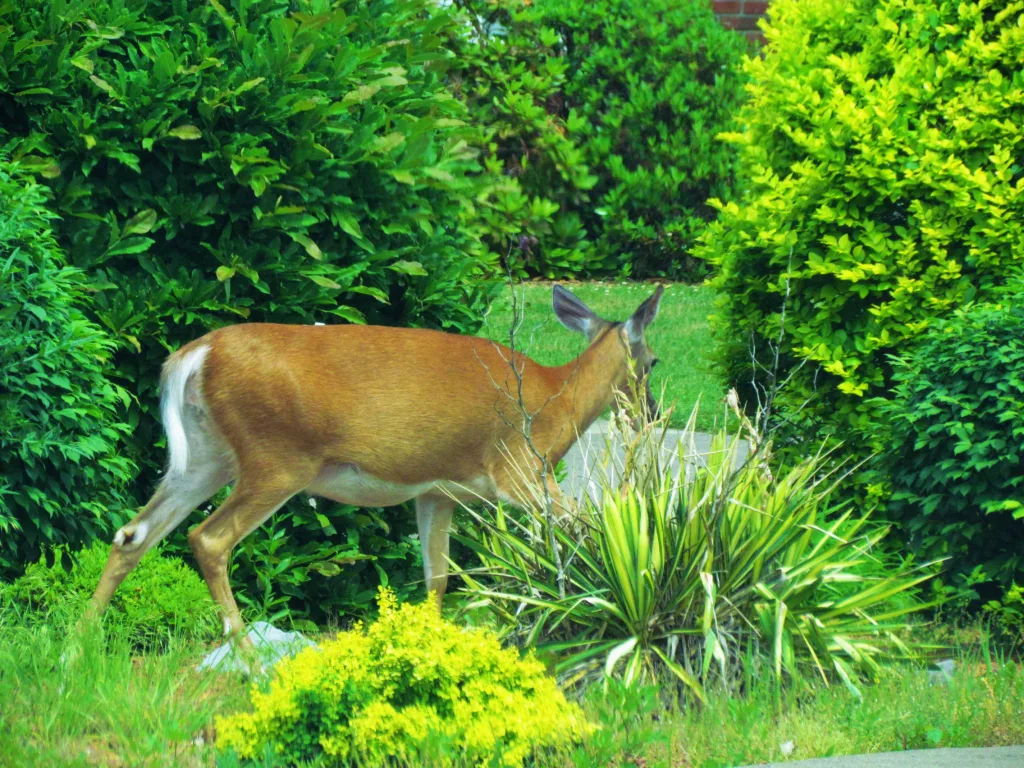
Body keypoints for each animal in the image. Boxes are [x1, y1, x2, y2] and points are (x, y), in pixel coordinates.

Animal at [86, 282, 663, 643]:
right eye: (654, 362)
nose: (652, 415)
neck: (556, 401)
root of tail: (195, 355)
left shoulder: (437, 492)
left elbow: (436, 579)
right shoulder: (519, 470)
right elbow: (585, 525)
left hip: (207, 457)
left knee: (134, 534)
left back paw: (79, 643)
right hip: (277, 458)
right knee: (208, 539)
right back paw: (249, 657)